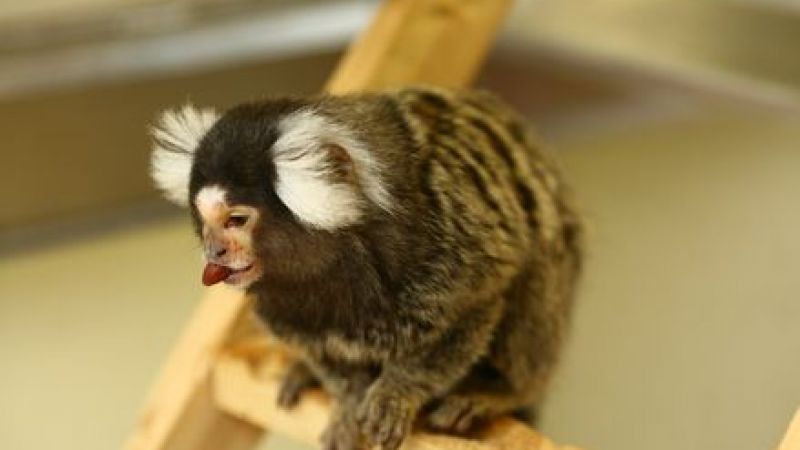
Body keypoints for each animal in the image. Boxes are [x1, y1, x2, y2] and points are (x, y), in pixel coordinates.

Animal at [150, 86, 583, 450]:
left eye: (236, 220)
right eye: (204, 220)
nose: (214, 251)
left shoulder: (460, 242)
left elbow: (475, 308)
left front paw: (397, 391)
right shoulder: (283, 308)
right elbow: (323, 353)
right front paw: (346, 399)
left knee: (538, 273)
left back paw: (501, 392)